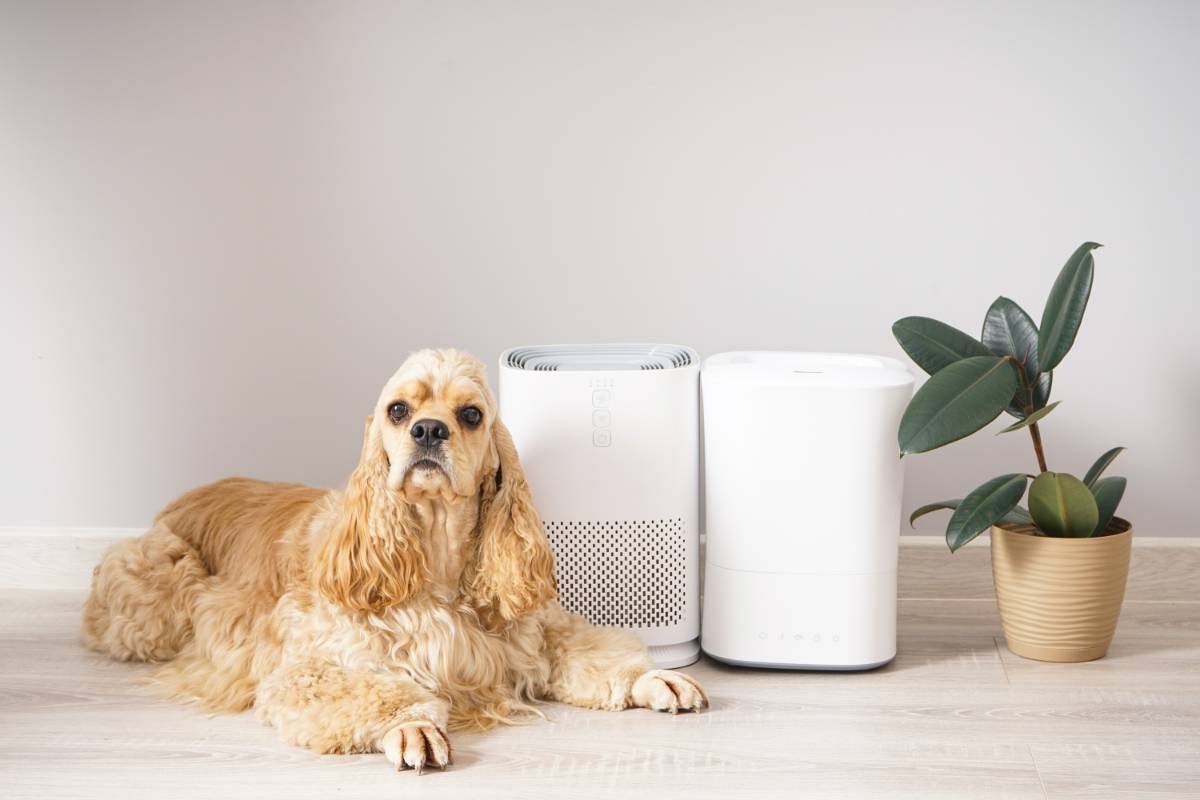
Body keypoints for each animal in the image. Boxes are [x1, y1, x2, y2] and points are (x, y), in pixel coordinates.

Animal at [82, 352, 700, 777]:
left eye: (471, 414)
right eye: (398, 410)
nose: (428, 430)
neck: (439, 564)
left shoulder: (535, 631)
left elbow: (589, 650)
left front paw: (653, 677)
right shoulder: (310, 668)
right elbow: (378, 695)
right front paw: (413, 727)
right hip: (160, 587)